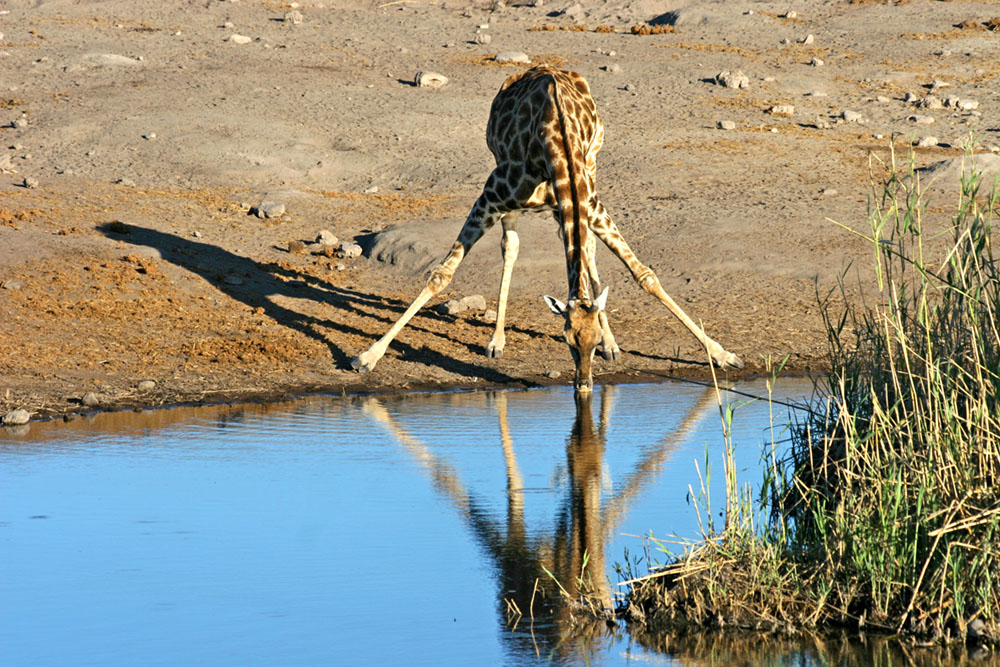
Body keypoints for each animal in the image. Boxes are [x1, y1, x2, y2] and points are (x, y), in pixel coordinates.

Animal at [354, 64, 744, 392]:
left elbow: (644, 275)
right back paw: (496, 341)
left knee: (585, 252)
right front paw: (369, 356)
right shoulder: (490, 196)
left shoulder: (589, 203)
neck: (556, 143)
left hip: (587, 176)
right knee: (511, 247)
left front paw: (722, 354)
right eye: (567, 340)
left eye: (587, 342)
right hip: (508, 184)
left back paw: (612, 343)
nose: (584, 385)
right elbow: (441, 275)